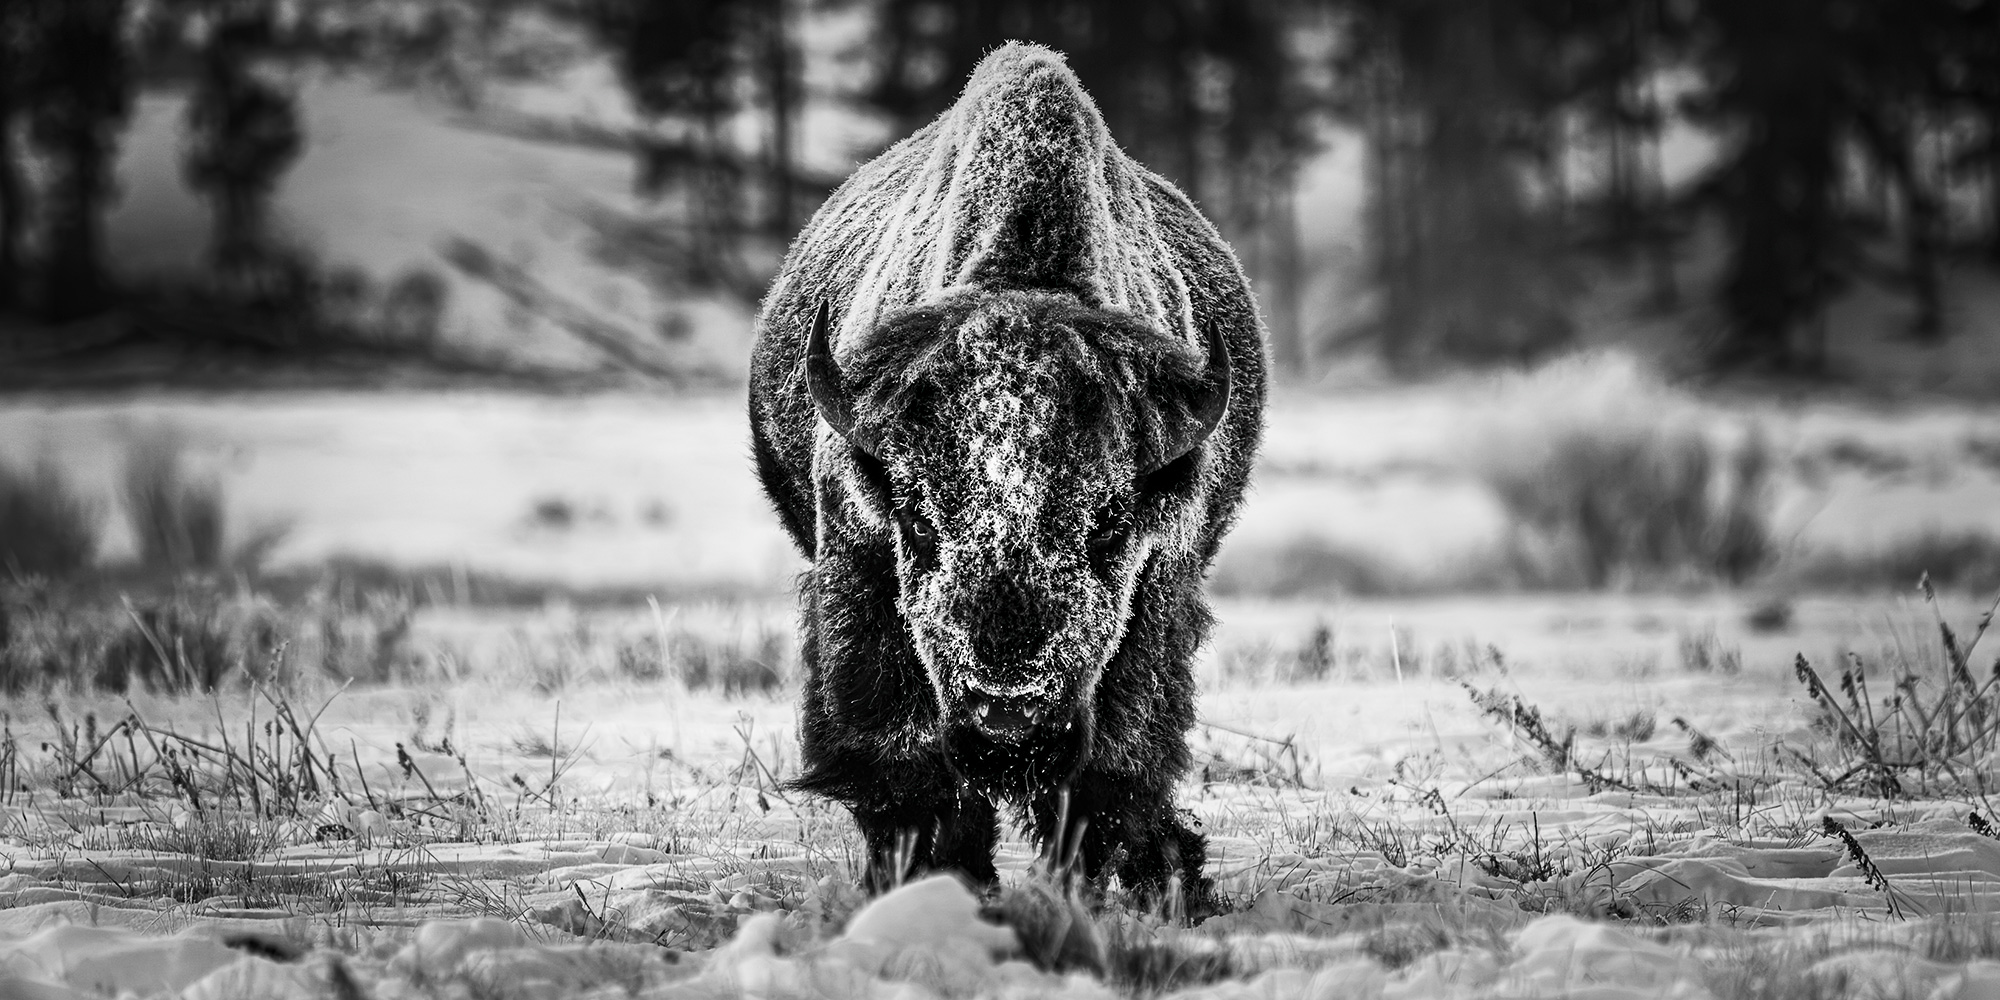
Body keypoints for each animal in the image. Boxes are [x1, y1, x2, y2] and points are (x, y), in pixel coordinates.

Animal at [747, 42, 1266, 915]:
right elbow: (907, 765)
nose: (1008, 722)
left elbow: (1112, 769)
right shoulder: (858, 570)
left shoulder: (1158, 591)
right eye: (916, 519)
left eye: (1110, 523)